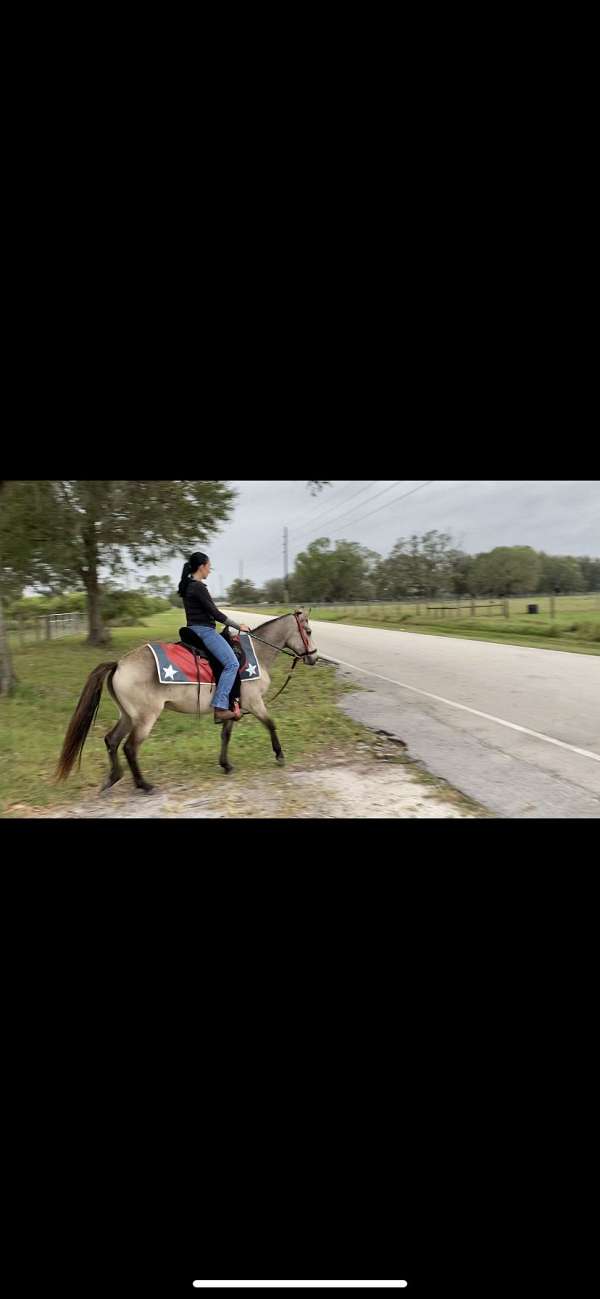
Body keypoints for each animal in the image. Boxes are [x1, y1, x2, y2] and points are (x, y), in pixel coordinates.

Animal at [56, 607, 318, 789]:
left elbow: (226, 735)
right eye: (308, 631)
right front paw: (279, 755)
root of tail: (119, 664)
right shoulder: (254, 703)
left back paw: (114, 778)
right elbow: (271, 724)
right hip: (145, 717)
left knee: (111, 740)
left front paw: (225, 764)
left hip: (128, 716)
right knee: (130, 747)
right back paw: (143, 785)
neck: (256, 654)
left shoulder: (232, 707)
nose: (314, 657)